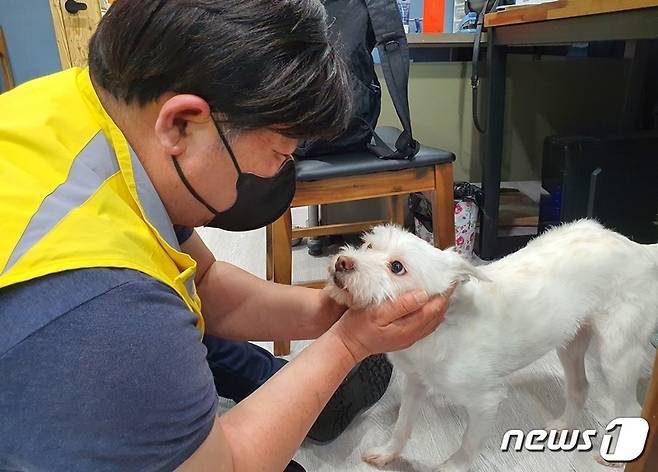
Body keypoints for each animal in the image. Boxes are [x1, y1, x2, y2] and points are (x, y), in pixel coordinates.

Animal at [324, 219, 656, 470]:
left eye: (396, 267)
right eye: (369, 246)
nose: (343, 262)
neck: (444, 326)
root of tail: (639, 248)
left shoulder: (485, 401)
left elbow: (467, 445)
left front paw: (451, 467)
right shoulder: (415, 381)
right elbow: (403, 423)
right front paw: (388, 453)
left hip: (617, 354)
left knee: (631, 407)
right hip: (571, 341)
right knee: (579, 388)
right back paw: (563, 426)